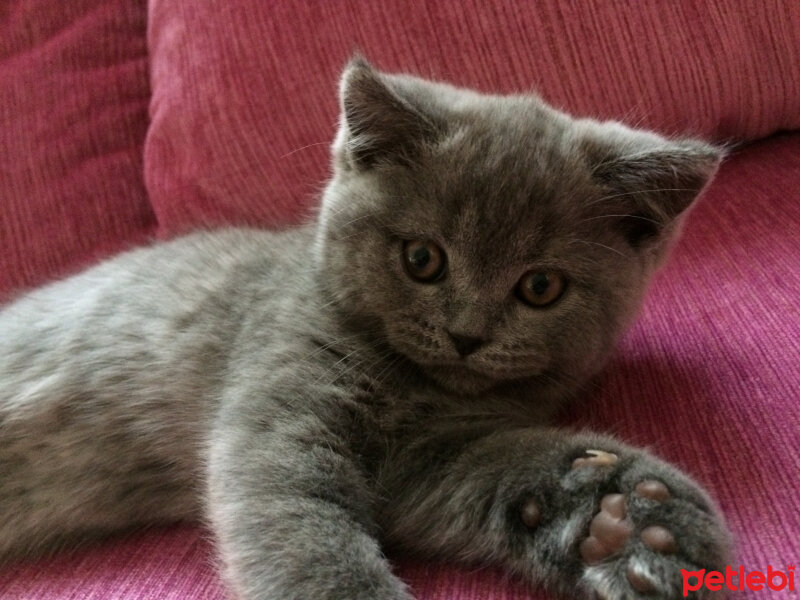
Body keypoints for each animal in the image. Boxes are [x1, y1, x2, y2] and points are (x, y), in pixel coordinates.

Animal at [1, 57, 732, 600]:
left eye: (540, 287)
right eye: (422, 259)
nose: (467, 335)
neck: (412, 387)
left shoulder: (425, 460)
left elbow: (483, 472)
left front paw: (621, 514)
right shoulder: (279, 410)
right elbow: (302, 531)